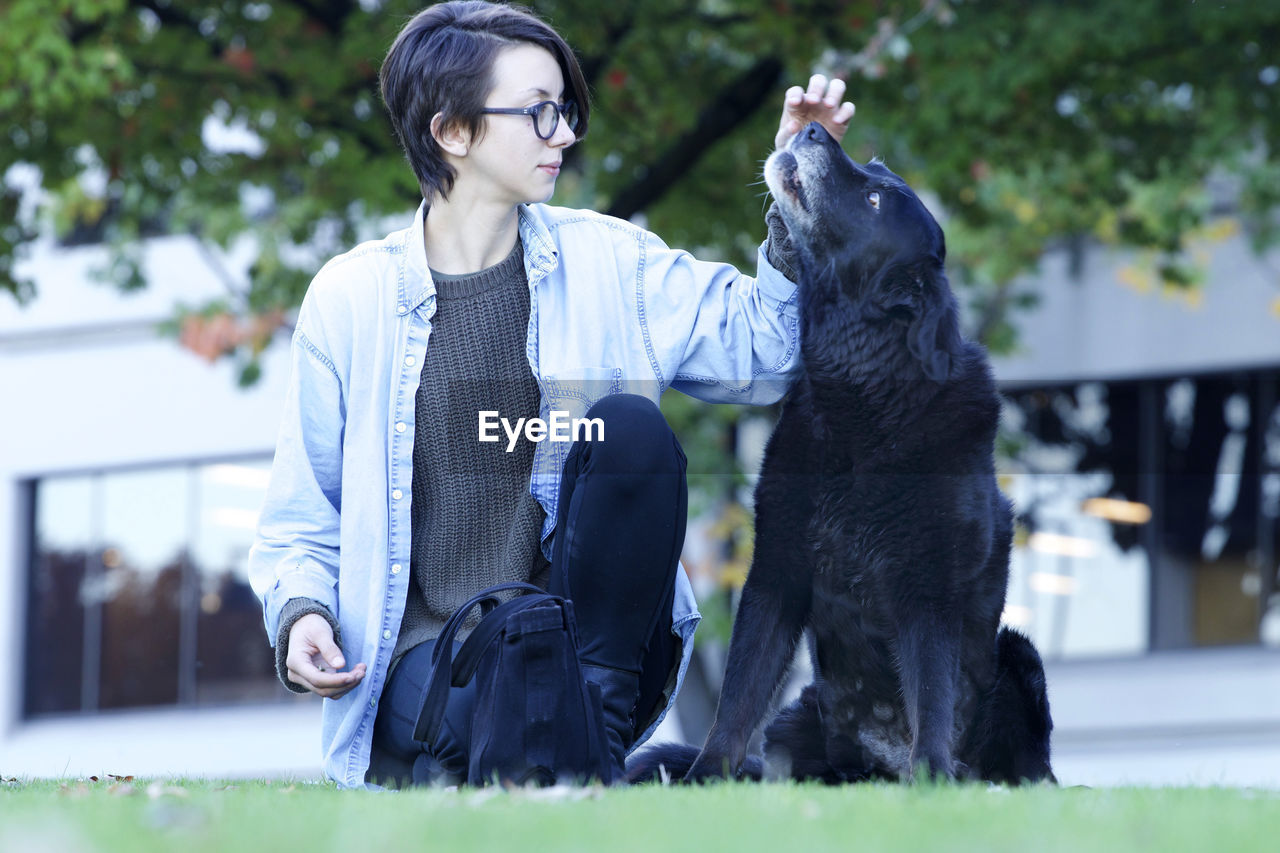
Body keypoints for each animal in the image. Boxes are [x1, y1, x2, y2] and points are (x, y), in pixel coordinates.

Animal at [627, 122, 1049, 778]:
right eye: (871, 168)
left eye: (874, 199)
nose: (812, 127)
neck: (861, 401)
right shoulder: (776, 570)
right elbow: (739, 693)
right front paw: (707, 777)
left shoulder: (928, 591)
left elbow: (933, 694)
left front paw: (933, 779)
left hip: (1020, 655)